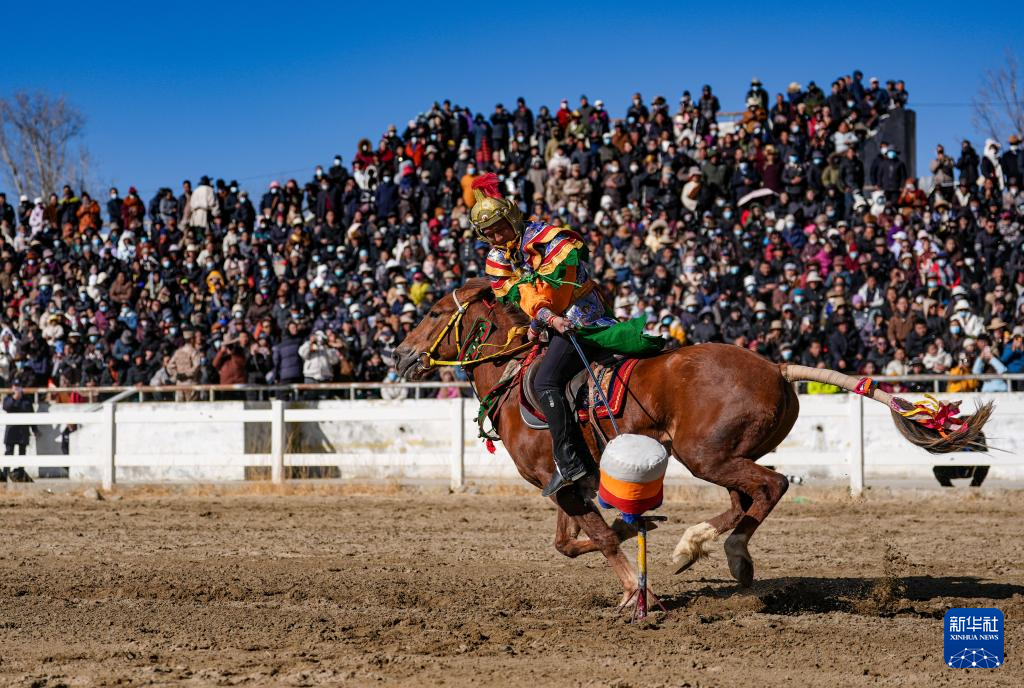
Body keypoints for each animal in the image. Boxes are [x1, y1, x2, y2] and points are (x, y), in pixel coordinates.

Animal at [393, 278, 991, 602]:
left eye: (432, 311)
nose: (399, 354)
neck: (518, 374)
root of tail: (775, 366)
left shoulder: (560, 480)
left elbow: (599, 539)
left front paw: (637, 590)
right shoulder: (563, 483)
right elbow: (569, 541)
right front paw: (636, 533)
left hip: (704, 455)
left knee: (769, 487)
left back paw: (722, 550)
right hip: (725, 454)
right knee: (745, 499)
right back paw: (698, 546)